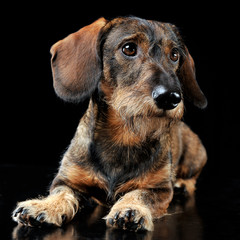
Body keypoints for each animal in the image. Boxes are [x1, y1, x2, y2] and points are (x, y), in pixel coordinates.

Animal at [13, 15, 207, 232]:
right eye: (129, 48)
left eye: (174, 54)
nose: (170, 97)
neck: (124, 135)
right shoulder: (68, 180)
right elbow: (61, 193)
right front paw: (45, 206)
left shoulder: (159, 189)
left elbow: (139, 194)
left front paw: (131, 209)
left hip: (195, 156)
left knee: (192, 178)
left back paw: (182, 185)